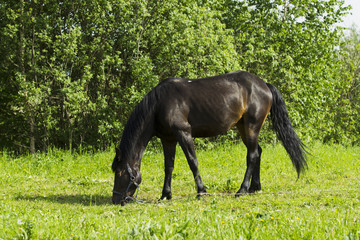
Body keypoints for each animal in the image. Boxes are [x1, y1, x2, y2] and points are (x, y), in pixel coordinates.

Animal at [112, 70, 306, 205]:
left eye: (120, 172)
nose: (115, 200)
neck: (159, 104)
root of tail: (263, 84)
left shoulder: (183, 133)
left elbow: (193, 162)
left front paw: (201, 191)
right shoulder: (168, 139)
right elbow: (168, 167)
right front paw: (165, 195)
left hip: (252, 127)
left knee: (251, 156)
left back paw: (242, 190)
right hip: (243, 127)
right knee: (257, 152)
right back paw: (254, 187)